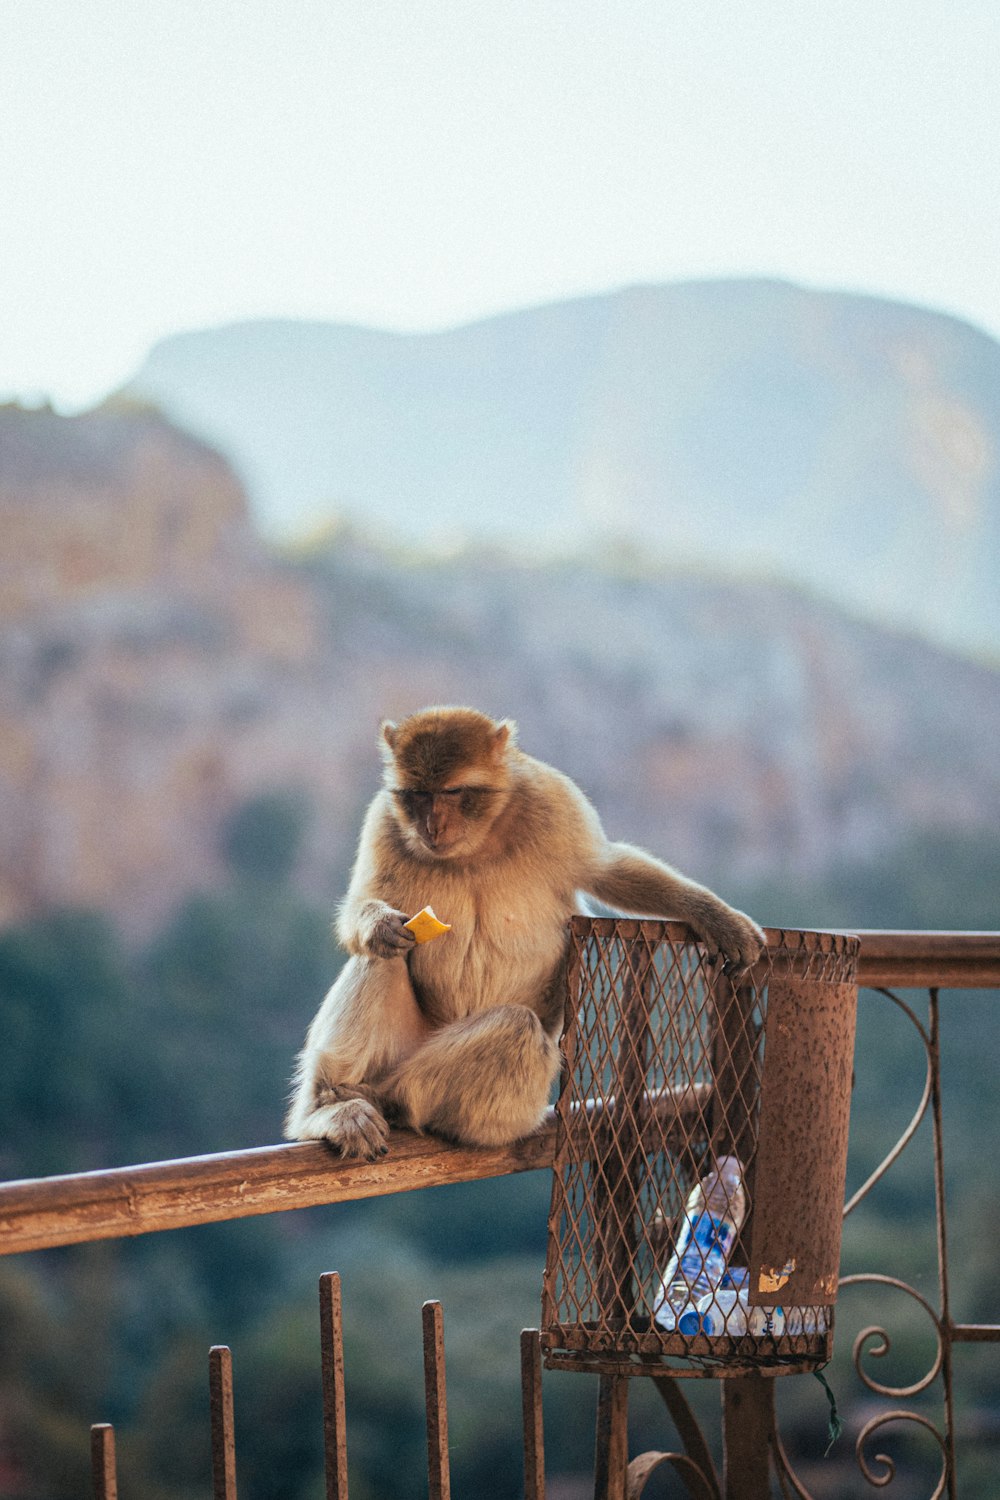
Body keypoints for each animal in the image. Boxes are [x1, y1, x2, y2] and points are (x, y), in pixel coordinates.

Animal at [284, 705, 761, 1158]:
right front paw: (380, 924)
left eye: (452, 792)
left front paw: (715, 916)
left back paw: (391, 1100)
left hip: (504, 1110)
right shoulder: (384, 819)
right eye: (419, 795)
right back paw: (331, 1107)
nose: (432, 827)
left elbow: (609, 869)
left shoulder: (554, 800)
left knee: (517, 1029)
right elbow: (365, 906)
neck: (479, 838)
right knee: (384, 959)